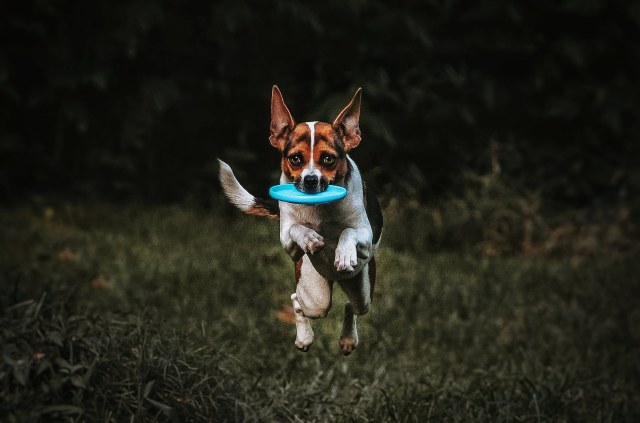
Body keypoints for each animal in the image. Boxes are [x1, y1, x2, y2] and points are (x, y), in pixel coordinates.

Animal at [218, 85, 382, 354]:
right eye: (295, 158)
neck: (321, 210)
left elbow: (348, 231)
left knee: (352, 306)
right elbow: (295, 228)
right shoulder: (288, 242)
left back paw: (348, 338)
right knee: (299, 302)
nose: (311, 180)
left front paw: (343, 252)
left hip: (362, 288)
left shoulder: (366, 238)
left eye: (328, 159)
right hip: (313, 293)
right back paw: (304, 337)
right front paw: (310, 238)